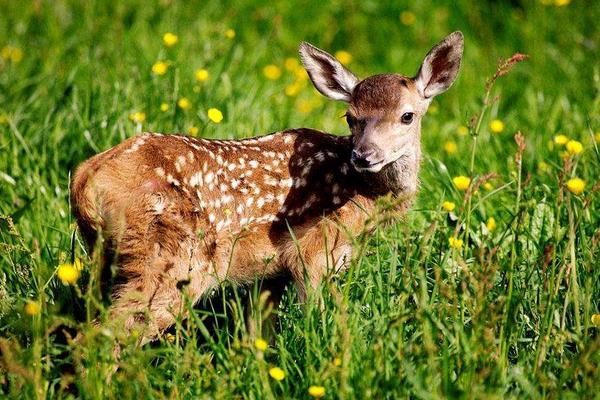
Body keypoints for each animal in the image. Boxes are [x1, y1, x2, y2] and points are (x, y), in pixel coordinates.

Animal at [70, 32, 464, 344]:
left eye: (407, 116)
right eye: (350, 117)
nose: (364, 155)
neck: (360, 193)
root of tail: (85, 177)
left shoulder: (270, 273)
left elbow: (260, 334)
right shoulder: (314, 251)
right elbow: (317, 316)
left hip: (110, 259)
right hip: (171, 257)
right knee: (104, 335)